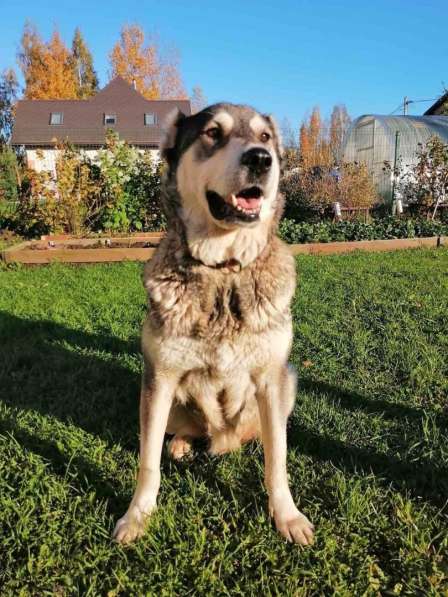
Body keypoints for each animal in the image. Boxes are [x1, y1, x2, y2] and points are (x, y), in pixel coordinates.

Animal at [112, 101, 316, 544]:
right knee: (178, 434)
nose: (261, 159)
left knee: (264, 435)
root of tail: (223, 441)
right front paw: (137, 516)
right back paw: (181, 445)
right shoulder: (159, 379)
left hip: (288, 383)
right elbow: (147, 463)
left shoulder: (271, 379)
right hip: (159, 398)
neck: (224, 271)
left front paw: (287, 516)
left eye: (265, 137)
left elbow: (278, 460)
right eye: (212, 133)